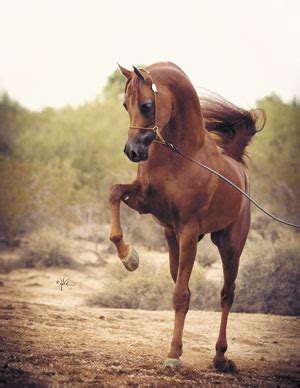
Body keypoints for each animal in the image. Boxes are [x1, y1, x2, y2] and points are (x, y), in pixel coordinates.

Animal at [109, 61, 264, 372]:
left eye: (146, 105)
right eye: (124, 105)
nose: (133, 152)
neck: (181, 155)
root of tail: (238, 169)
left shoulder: (189, 231)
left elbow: (180, 297)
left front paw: (173, 356)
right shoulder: (146, 203)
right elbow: (114, 192)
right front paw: (128, 256)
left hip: (229, 246)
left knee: (226, 295)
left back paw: (220, 357)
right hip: (174, 241)